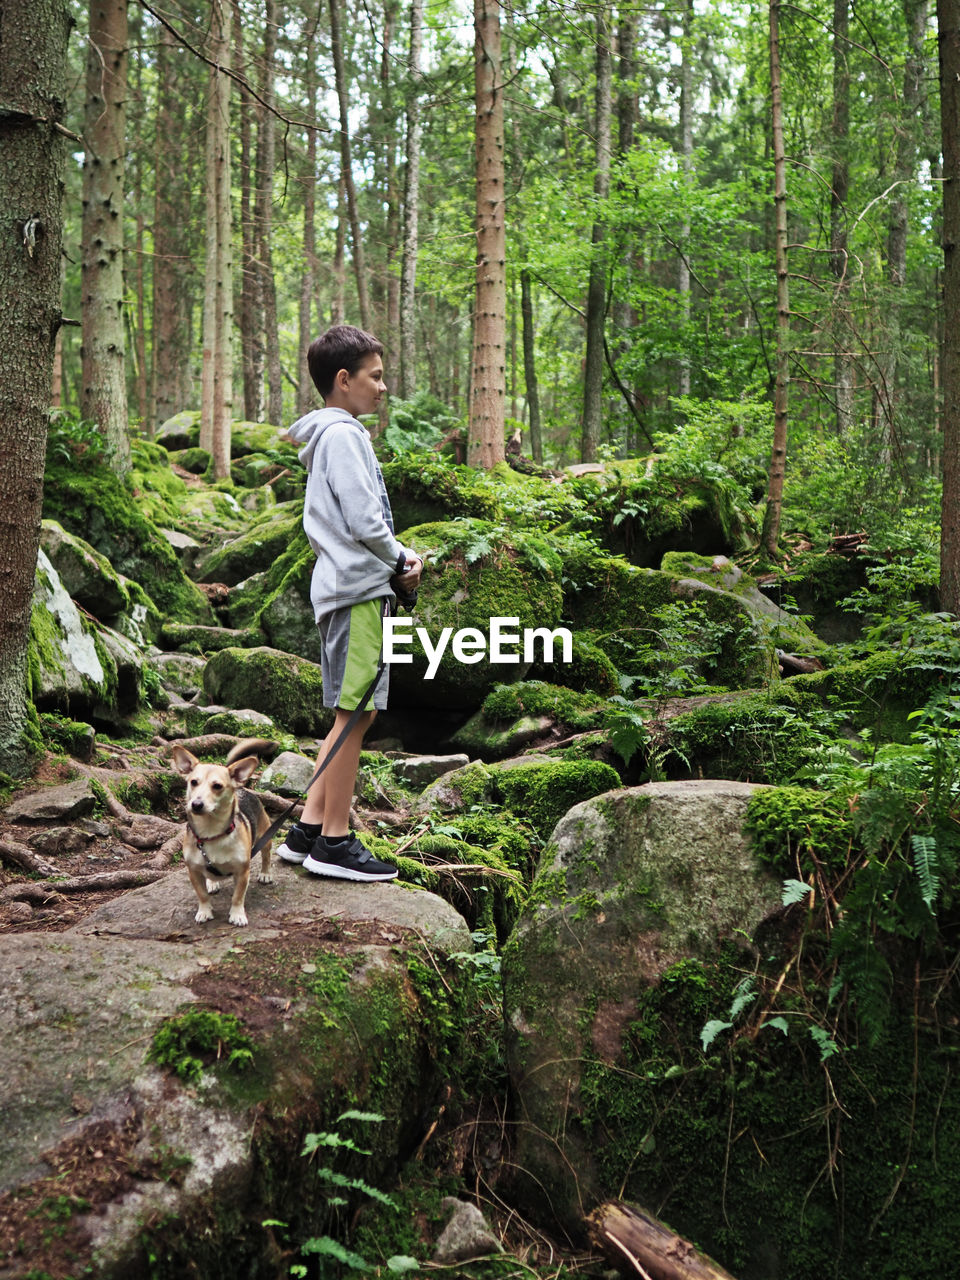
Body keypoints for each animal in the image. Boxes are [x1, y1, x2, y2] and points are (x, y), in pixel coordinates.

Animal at [171, 737, 276, 926]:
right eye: (193, 782)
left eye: (217, 786)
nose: (196, 804)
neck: (211, 832)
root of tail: (241, 787)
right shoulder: (193, 872)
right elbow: (202, 895)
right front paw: (204, 911)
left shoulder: (242, 872)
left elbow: (238, 896)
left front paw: (237, 914)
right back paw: (212, 883)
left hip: (265, 836)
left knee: (266, 855)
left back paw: (265, 873)